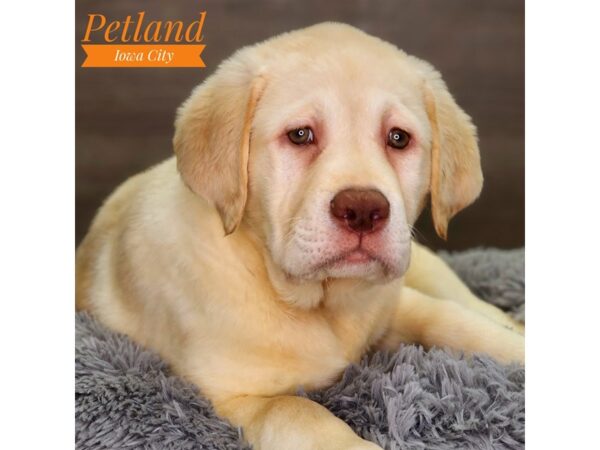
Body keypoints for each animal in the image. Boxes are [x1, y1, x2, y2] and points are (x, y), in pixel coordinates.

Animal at [76, 23, 524, 450]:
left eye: (398, 138)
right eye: (300, 135)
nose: (363, 210)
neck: (318, 302)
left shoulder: (397, 304)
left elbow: (452, 321)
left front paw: (516, 349)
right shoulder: (231, 395)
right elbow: (296, 411)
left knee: (473, 305)